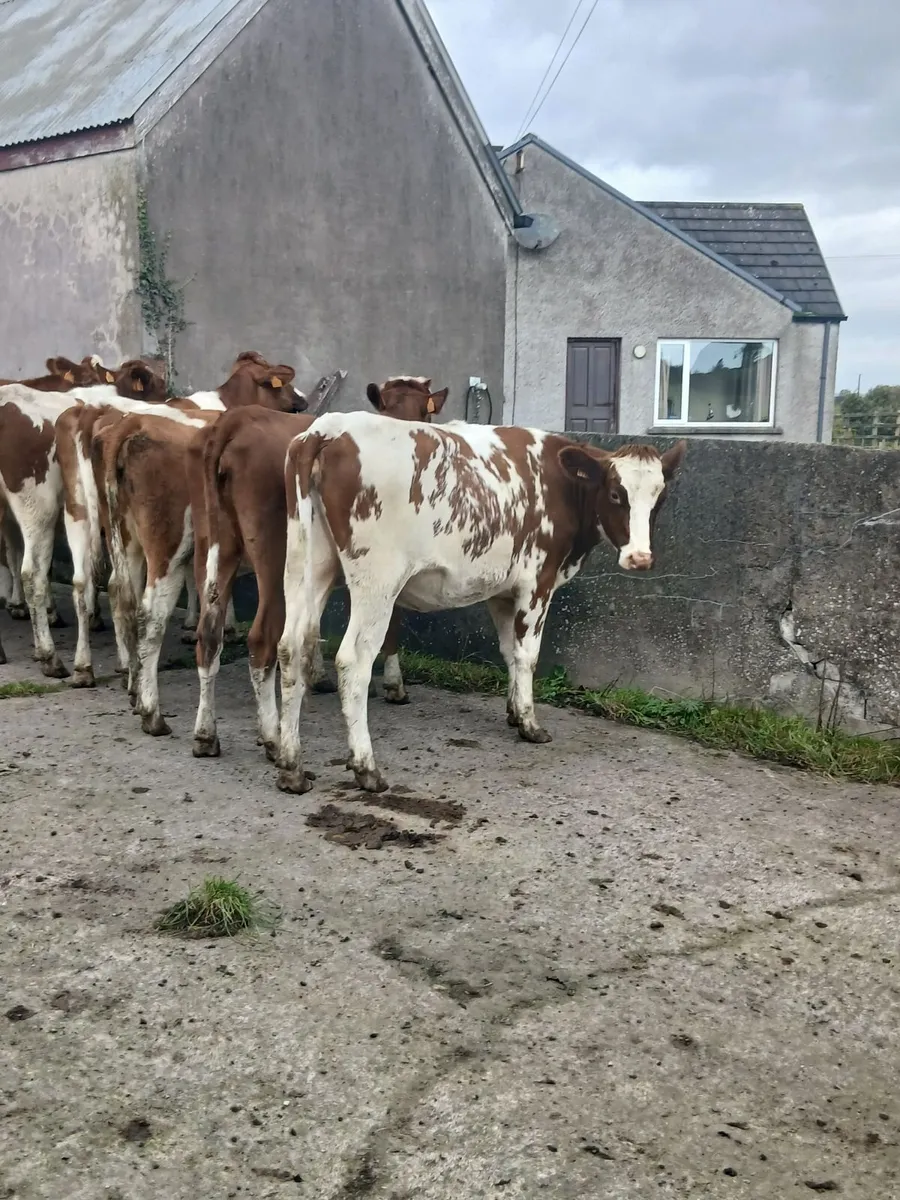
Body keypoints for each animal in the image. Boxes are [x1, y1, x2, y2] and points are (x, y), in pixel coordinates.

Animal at [188, 376, 449, 760]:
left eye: (423, 412)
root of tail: (237, 419)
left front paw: (316, 673)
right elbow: (391, 624)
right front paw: (394, 684)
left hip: (213, 547)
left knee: (208, 635)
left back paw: (206, 735)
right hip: (275, 556)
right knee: (262, 639)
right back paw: (272, 737)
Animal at [274, 415, 687, 794]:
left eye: (660, 499)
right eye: (616, 494)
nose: (640, 558)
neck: (560, 484)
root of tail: (331, 428)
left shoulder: (502, 590)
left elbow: (509, 651)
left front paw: (514, 712)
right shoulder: (537, 581)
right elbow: (527, 654)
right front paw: (530, 724)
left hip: (307, 566)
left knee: (291, 649)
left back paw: (291, 766)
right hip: (377, 582)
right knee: (353, 662)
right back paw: (366, 767)